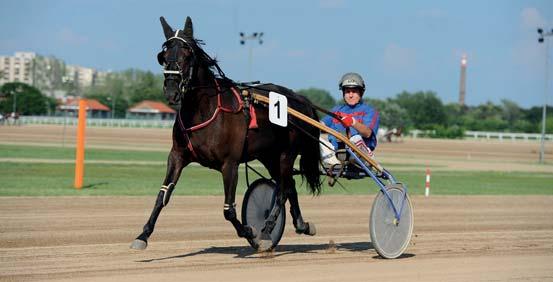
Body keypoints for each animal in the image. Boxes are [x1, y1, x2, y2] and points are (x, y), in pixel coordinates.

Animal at [131, 17, 320, 251]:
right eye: (163, 57)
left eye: (187, 55)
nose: (172, 91)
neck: (203, 109)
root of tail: (299, 98)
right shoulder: (177, 155)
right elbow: (162, 195)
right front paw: (143, 235)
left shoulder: (230, 163)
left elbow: (228, 210)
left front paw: (250, 231)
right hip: (268, 156)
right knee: (289, 187)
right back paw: (302, 225)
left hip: (286, 154)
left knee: (283, 190)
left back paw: (266, 231)